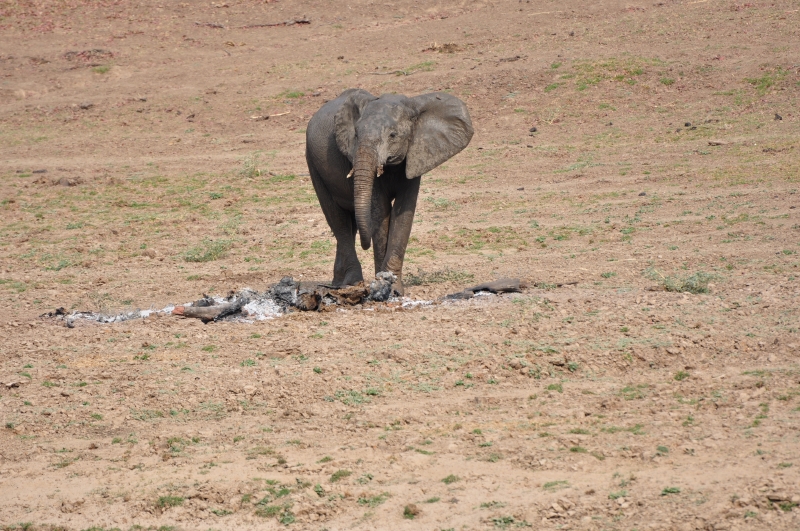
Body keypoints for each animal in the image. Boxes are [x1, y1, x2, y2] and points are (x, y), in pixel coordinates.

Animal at [305, 89, 474, 295]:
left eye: (393, 135)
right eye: (356, 134)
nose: (366, 244)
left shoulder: (415, 155)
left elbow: (403, 214)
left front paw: (393, 289)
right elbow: (380, 213)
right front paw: (382, 284)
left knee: (349, 225)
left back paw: (338, 283)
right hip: (313, 163)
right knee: (338, 221)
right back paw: (351, 284)